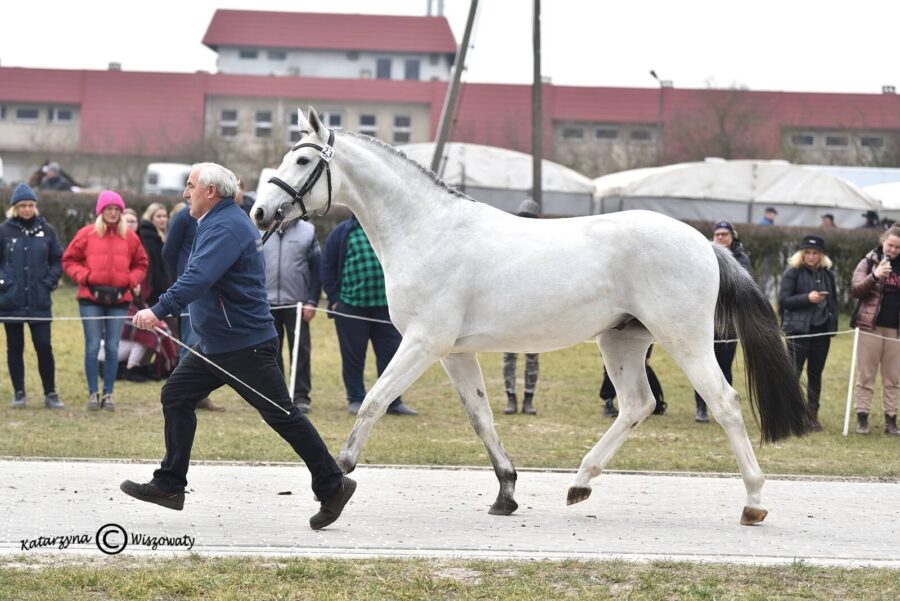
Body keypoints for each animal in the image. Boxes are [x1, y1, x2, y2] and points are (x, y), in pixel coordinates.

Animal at [250, 108, 812, 524]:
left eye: (303, 159)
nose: (258, 212)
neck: (428, 230)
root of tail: (704, 243)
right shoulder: (453, 353)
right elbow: (481, 417)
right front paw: (506, 493)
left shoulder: (423, 343)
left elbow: (373, 402)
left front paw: (335, 488)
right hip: (622, 341)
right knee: (637, 404)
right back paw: (579, 484)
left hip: (686, 340)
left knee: (724, 403)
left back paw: (754, 502)